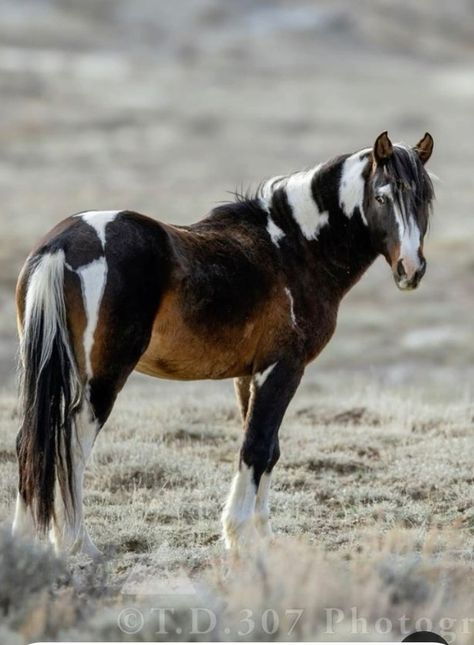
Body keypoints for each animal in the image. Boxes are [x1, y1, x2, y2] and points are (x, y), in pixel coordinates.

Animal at [10, 130, 434, 552]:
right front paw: (240, 534)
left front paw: (262, 536)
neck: (293, 248)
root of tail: (61, 245)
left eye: (424, 198)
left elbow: (268, 449)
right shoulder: (282, 369)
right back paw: (78, 545)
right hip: (102, 379)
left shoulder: (249, 375)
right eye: (381, 196)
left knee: (31, 443)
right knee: (70, 446)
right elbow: (256, 446)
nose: (410, 269)